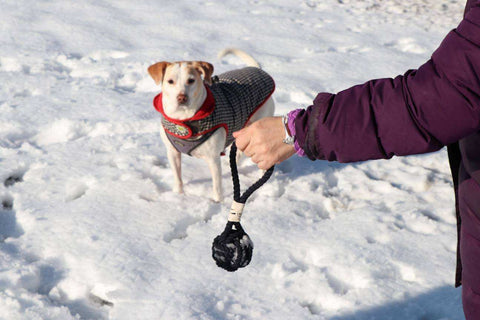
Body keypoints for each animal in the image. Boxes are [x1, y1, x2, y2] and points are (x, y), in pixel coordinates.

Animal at [147, 48, 274, 201]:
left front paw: (217, 202)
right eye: (170, 81)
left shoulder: (213, 158)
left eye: (191, 80)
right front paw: (178, 195)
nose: (182, 97)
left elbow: (217, 186)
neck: (184, 120)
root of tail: (257, 69)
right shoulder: (173, 152)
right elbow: (178, 178)